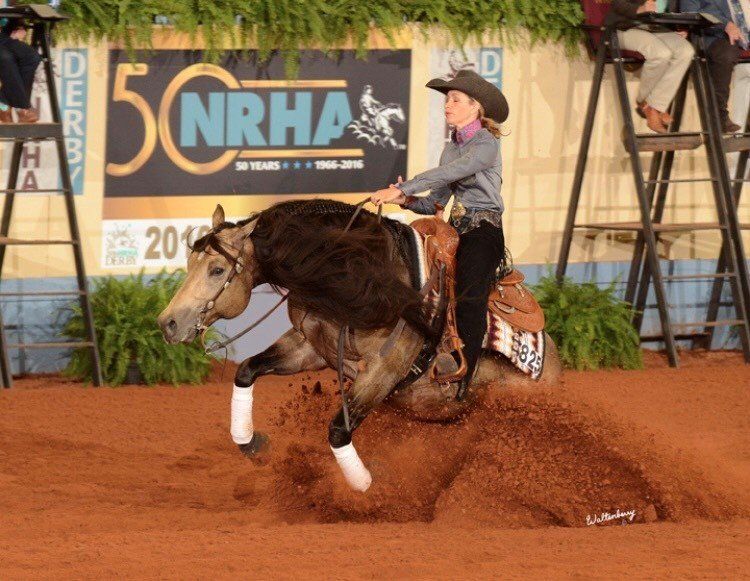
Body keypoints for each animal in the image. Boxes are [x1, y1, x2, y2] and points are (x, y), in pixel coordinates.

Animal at [157, 200, 561, 492]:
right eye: (190, 263)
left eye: (217, 271)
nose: (168, 323)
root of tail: (551, 361)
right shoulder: (309, 347)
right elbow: (246, 370)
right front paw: (252, 444)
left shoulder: (384, 371)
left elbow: (338, 431)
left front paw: (368, 491)